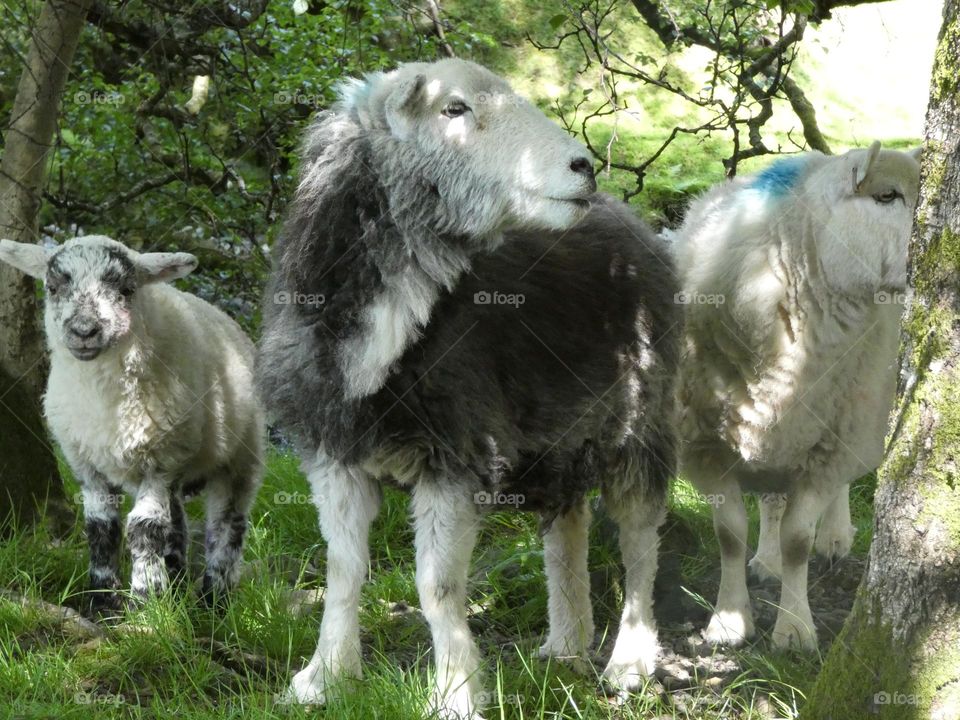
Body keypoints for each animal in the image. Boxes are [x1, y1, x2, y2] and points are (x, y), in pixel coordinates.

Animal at [0, 236, 265, 611]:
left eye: (126, 290)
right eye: (52, 287)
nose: (84, 331)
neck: (104, 400)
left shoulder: (162, 458)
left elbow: (145, 527)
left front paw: (146, 600)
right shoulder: (87, 462)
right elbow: (101, 528)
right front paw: (103, 601)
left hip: (241, 456)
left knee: (228, 524)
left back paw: (214, 600)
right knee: (178, 521)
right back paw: (177, 581)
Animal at [257, 58, 680, 718]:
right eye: (452, 108)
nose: (583, 166)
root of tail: (633, 221)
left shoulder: (456, 456)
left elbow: (437, 587)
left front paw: (455, 691)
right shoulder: (333, 452)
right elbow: (342, 569)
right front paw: (323, 677)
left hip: (639, 417)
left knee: (640, 541)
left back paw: (630, 661)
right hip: (558, 430)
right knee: (569, 525)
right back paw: (566, 644)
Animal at [673, 142, 921, 649]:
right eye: (887, 195)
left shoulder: (828, 447)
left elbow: (798, 541)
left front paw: (794, 629)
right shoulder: (705, 447)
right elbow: (730, 534)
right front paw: (729, 620)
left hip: (848, 414)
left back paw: (835, 536)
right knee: (771, 499)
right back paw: (765, 561)